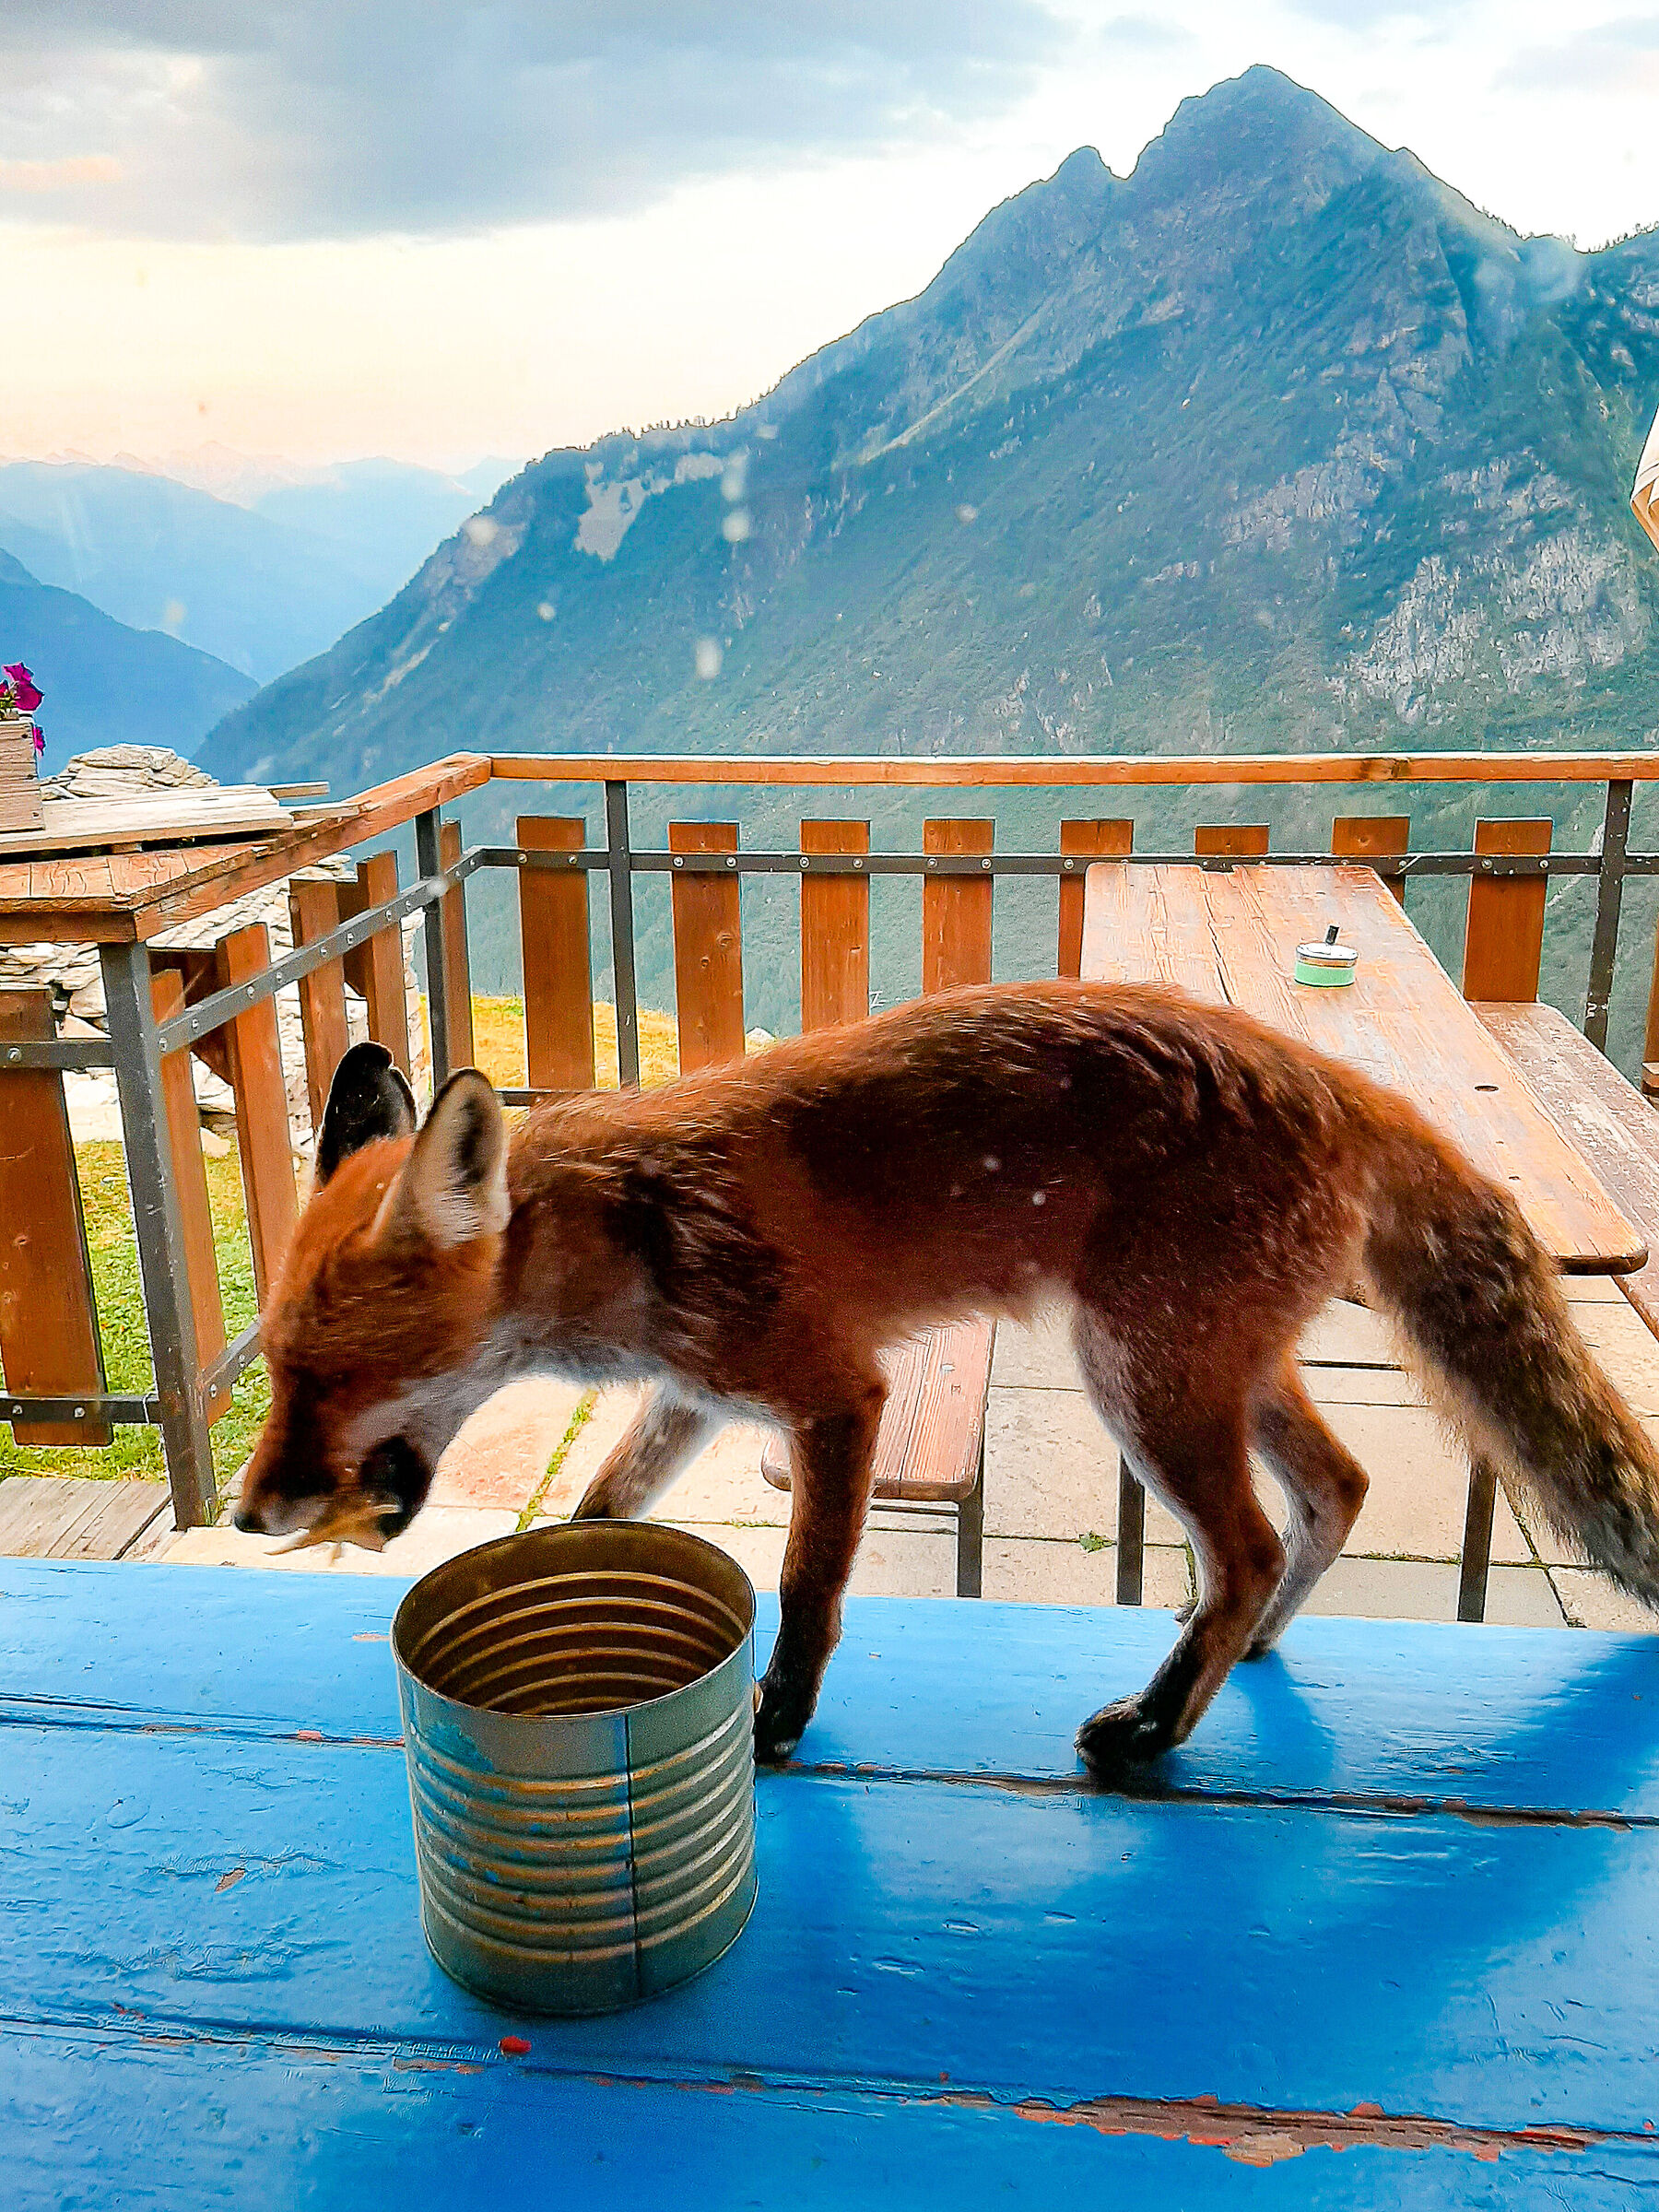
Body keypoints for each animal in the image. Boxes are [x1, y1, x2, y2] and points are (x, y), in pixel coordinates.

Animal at [235, 981, 1659, 1777]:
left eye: (330, 1373)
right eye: (280, 1371)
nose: (249, 1516)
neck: (637, 1233)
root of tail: (1351, 1086)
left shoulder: (832, 1395)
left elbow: (809, 1584)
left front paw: (781, 1719)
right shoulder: (693, 1397)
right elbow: (602, 1512)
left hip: (1140, 1378)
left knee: (1250, 1544)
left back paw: (1155, 1735)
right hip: (1218, 1367)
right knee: (1338, 1491)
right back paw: (1242, 1652)